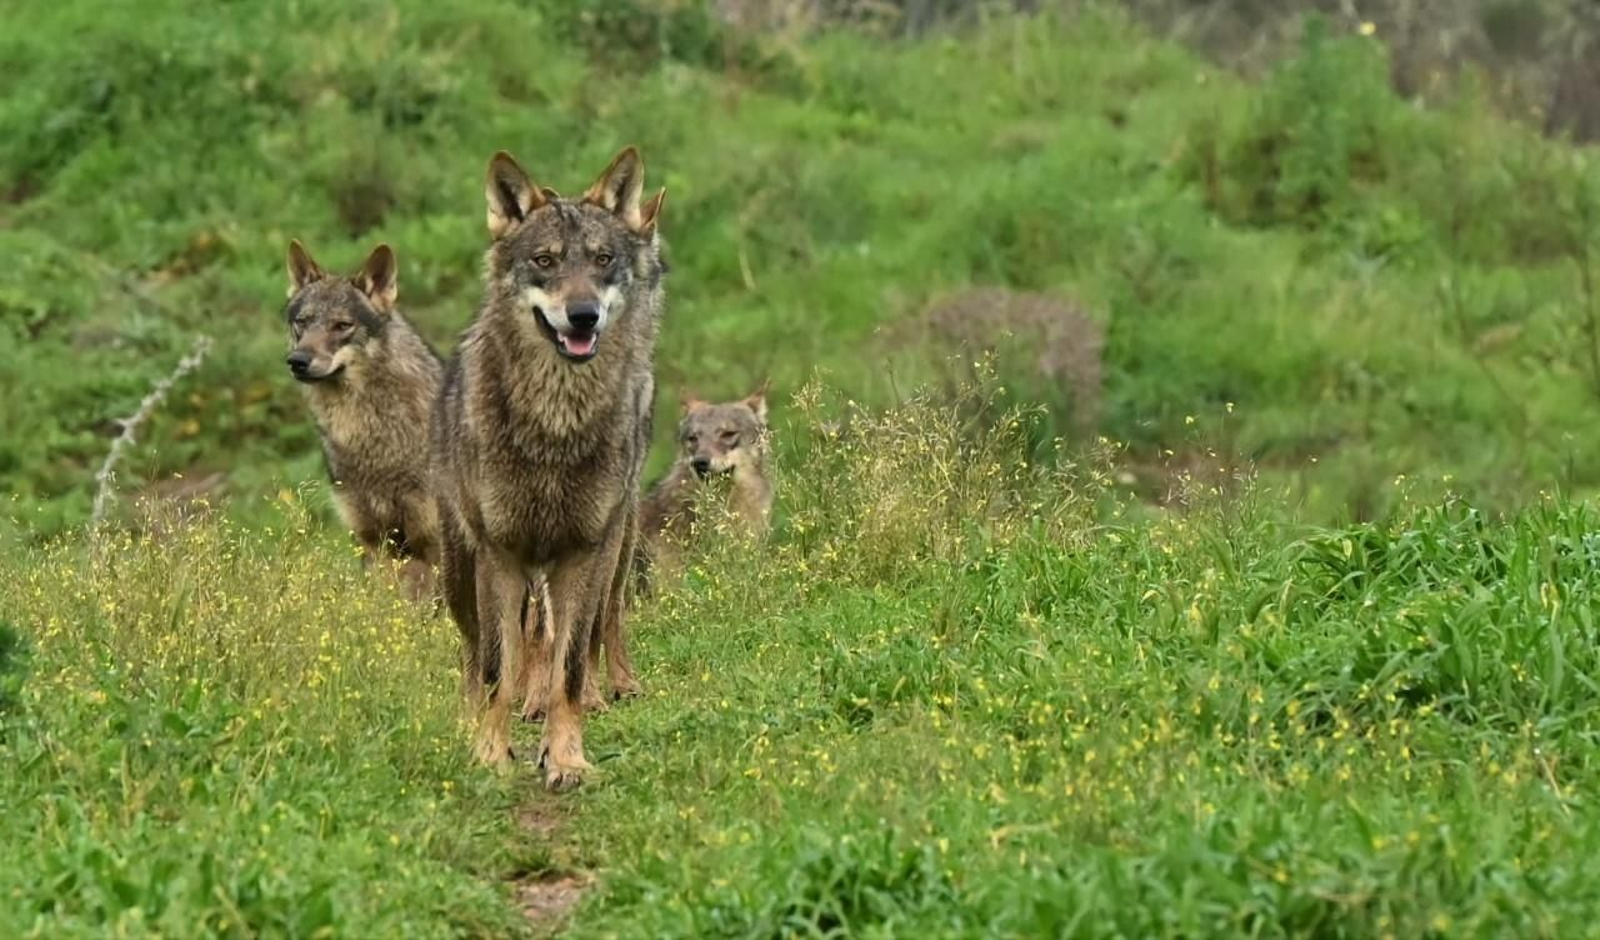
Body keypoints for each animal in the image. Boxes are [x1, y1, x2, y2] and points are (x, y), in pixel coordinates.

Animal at [431, 146, 666, 788]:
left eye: (604, 260)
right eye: (544, 261)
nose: (583, 316)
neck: (555, 429)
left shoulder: (584, 552)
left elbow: (570, 667)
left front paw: (565, 757)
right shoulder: (501, 555)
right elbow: (494, 670)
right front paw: (489, 753)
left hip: (612, 551)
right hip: (461, 571)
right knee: (475, 656)